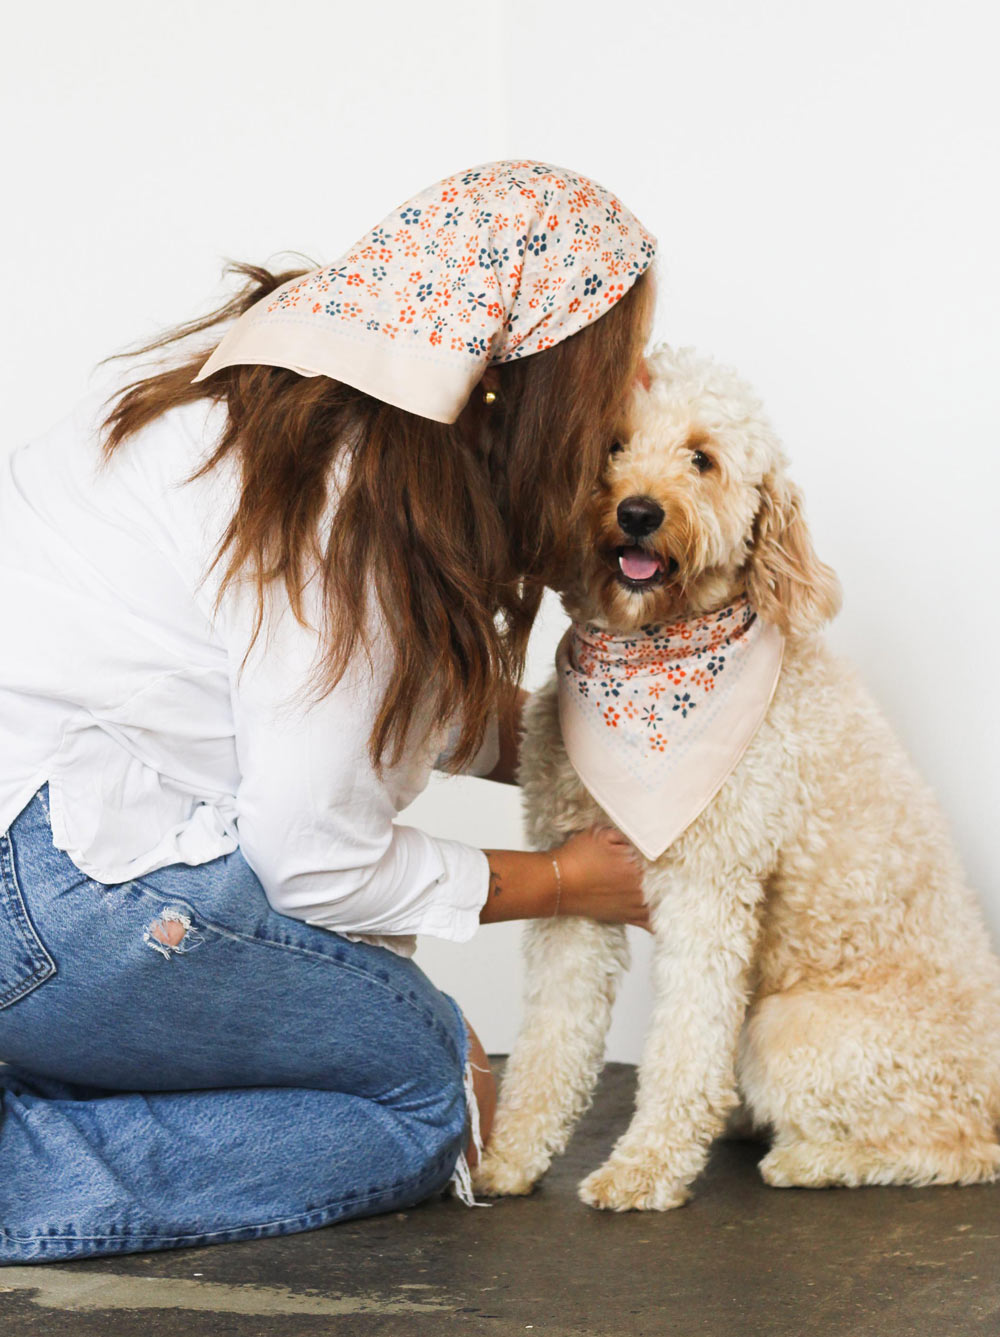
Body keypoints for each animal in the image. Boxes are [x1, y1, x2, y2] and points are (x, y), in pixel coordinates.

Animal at [470, 342, 1000, 1213]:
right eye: (610, 446)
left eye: (702, 458)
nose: (639, 512)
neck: (653, 654)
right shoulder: (572, 884)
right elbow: (552, 1035)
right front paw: (508, 1155)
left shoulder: (710, 882)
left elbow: (684, 1045)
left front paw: (645, 1167)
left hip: (790, 1033)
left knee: (961, 1149)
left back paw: (810, 1159)